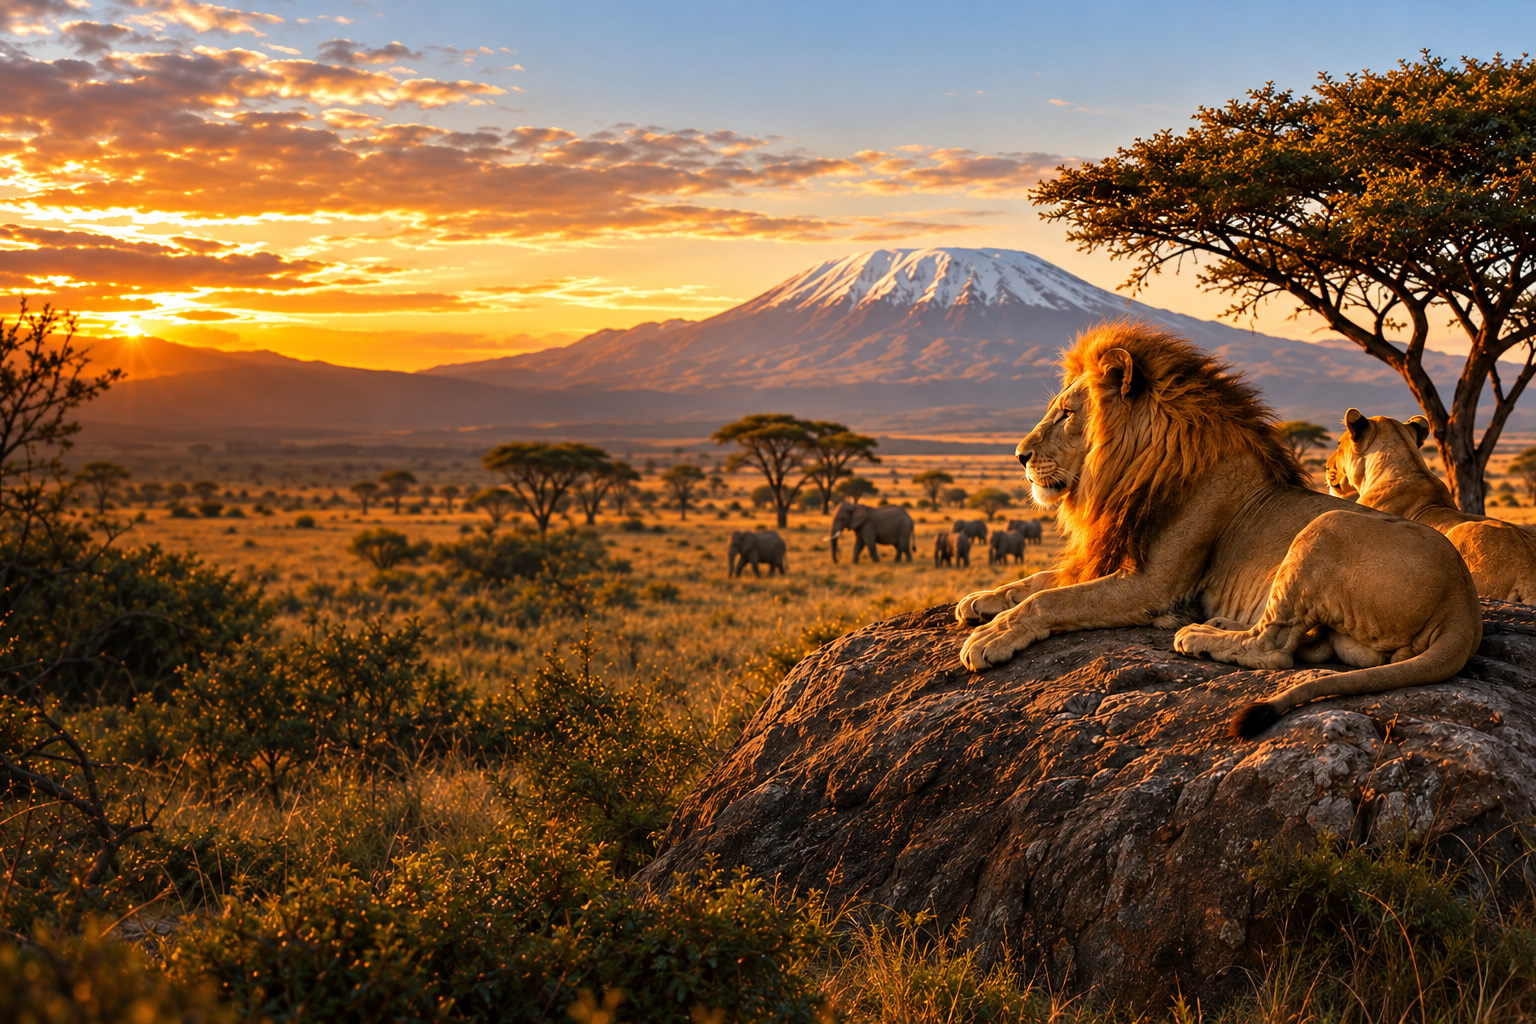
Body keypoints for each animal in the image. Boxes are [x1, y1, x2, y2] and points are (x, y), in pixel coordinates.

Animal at [955, 322, 1482, 739]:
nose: (1019, 455)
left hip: (1325, 526)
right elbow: (1035, 583)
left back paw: (1197, 635)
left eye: (1067, 414)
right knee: (1301, 641)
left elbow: (1049, 600)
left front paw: (992, 637)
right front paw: (979, 600)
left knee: (1274, 651)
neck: (1132, 472)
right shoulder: (1112, 558)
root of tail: (1463, 605)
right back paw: (1220, 624)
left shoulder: (1153, 585)